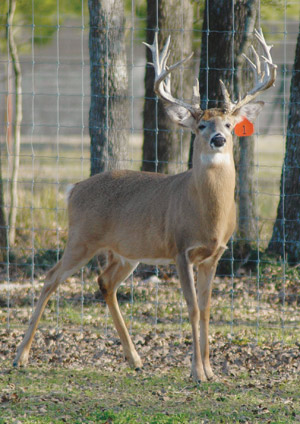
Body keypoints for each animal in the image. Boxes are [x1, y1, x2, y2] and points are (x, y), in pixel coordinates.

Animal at [14, 29, 276, 380]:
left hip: (127, 253)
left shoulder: (215, 255)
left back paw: (135, 358)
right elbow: (192, 309)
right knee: (51, 277)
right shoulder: (180, 248)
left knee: (105, 282)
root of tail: (73, 189)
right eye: (200, 126)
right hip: (81, 238)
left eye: (230, 125)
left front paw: (211, 371)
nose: (218, 139)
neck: (209, 216)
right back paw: (22, 356)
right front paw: (197, 372)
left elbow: (207, 309)